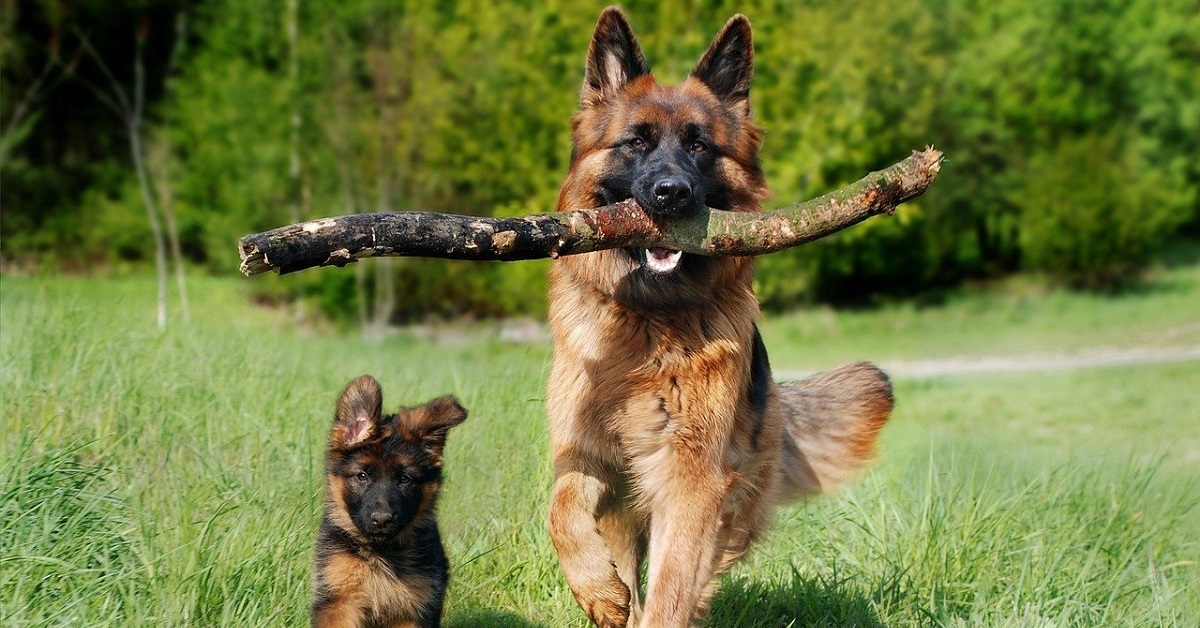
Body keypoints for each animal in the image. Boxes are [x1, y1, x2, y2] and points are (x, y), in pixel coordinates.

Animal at [314, 377, 468, 624]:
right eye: (362, 476)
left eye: (405, 479)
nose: (382, 520)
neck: (381, 552)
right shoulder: (339, 601)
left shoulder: (414, 609)